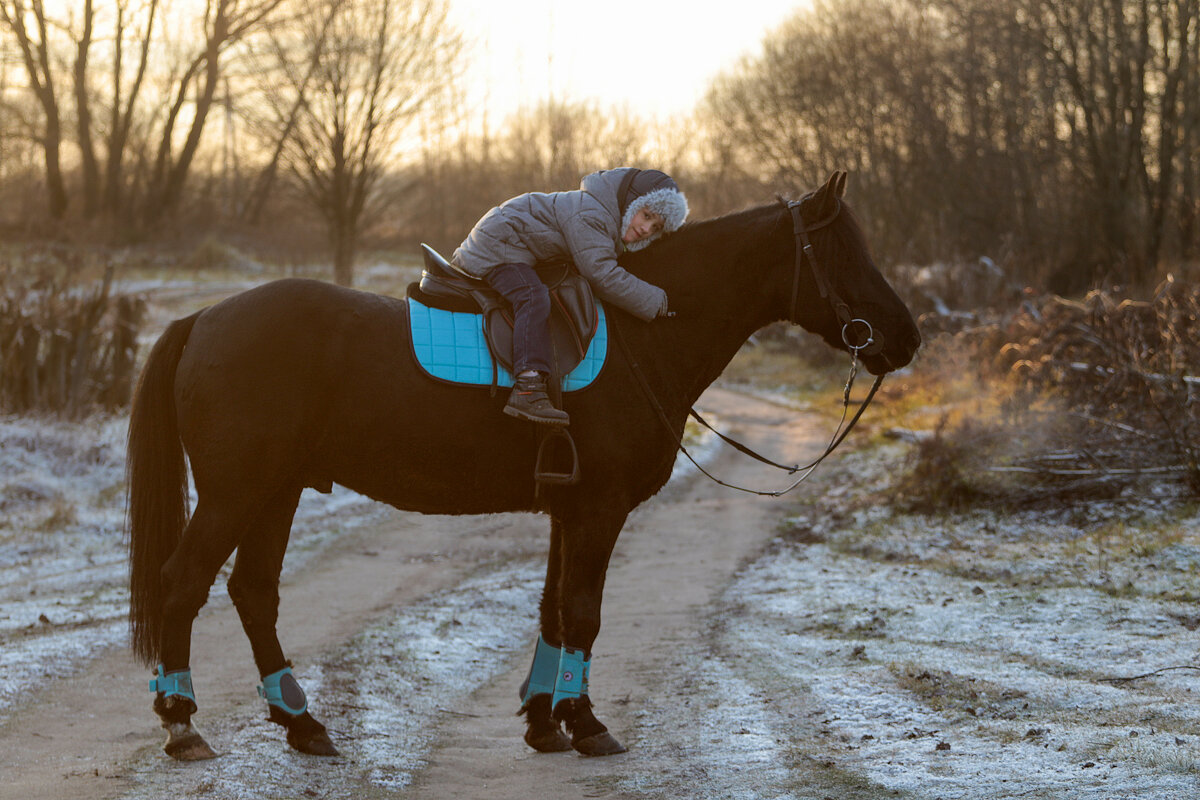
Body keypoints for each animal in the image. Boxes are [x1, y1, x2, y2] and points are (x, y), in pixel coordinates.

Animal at [126, 170, 921, 762]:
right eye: (843, 251)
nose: (908, 336)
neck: (640, 338)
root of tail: (204, 318)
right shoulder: (599, 511)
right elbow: (584, 613)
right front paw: (587, 722)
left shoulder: (570, 511)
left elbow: (553, 610)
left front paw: (544, 720)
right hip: (236, 492)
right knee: (183, 582)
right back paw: (182, 721)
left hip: (276, 491)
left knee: (253, 594)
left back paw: (302, 723)